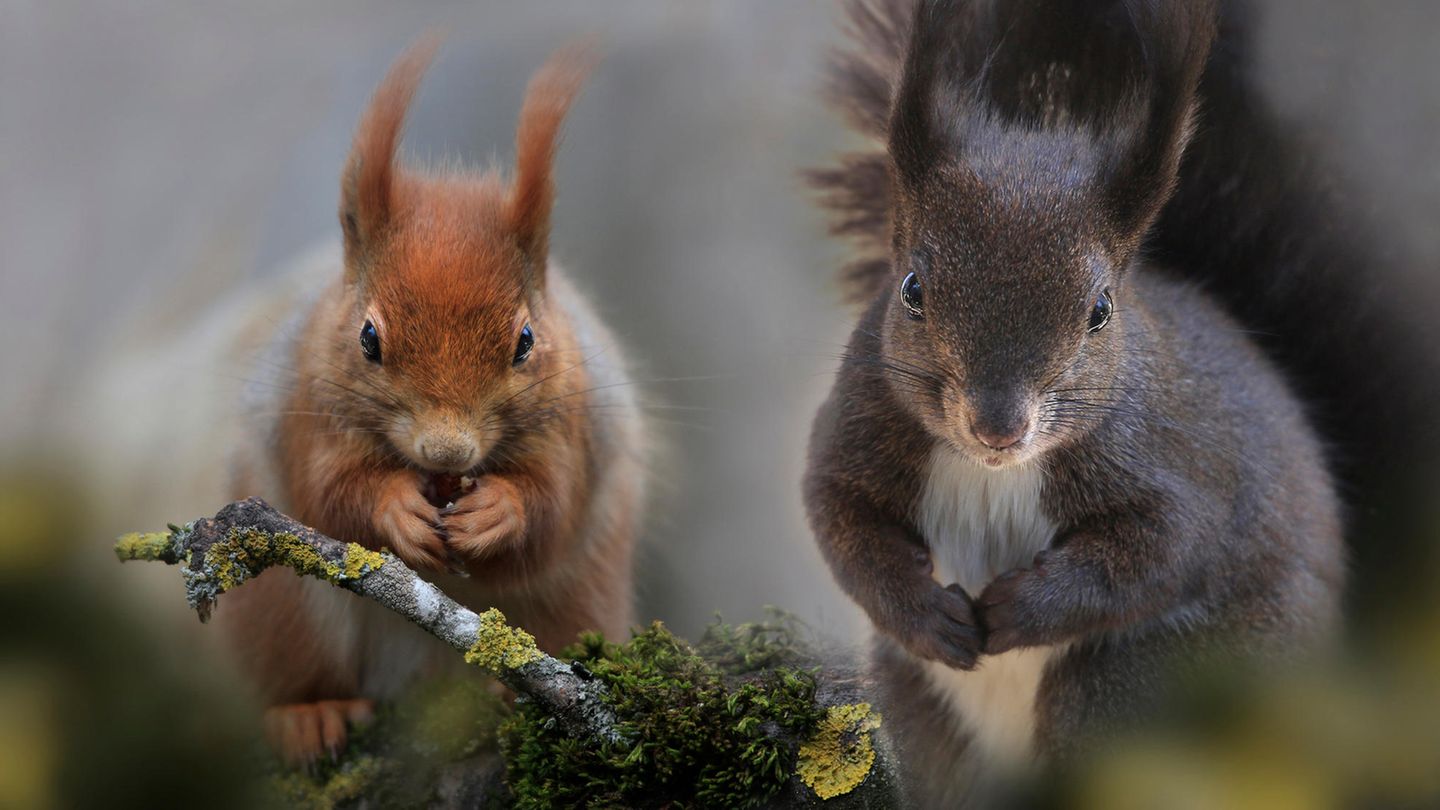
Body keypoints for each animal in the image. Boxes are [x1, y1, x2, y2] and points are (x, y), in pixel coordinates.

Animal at [217, 41, 648, 760]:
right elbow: (328, 493)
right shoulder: (305, 412)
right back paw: (309, 715)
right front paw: (394, 509)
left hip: (579, 603)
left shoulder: (575, 427)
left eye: (526, 340)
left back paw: (510, 692)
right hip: (281, 613)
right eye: (367, 337)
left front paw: (499, 511)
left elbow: (553, 505)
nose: (447, 452)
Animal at [806, 0, 1342, 801]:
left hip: (1131, 689)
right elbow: (841, 523)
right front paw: (929, 615)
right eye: (912, 290)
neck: (990, 475)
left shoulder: (1179, 459)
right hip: (923, 715)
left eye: (1101, 309)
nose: (998, 427)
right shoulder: (854, 429)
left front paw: (1019, 609)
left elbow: (1162, 549)